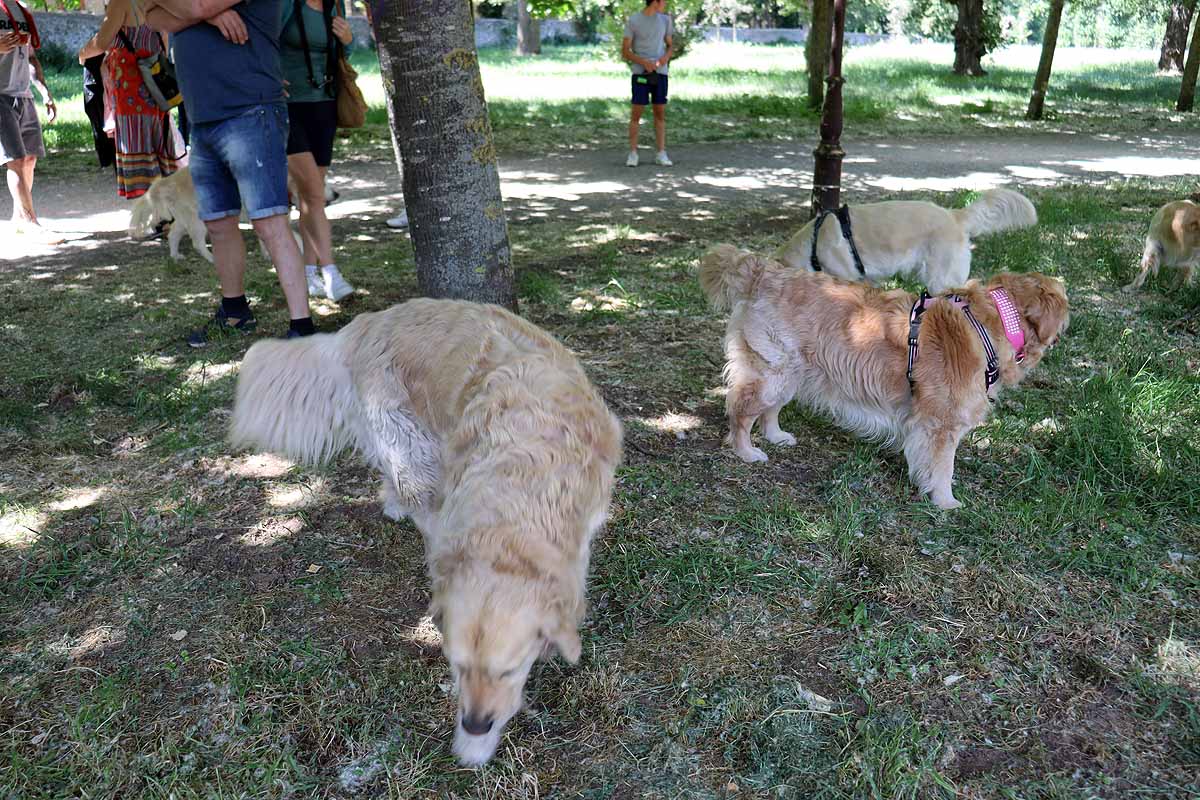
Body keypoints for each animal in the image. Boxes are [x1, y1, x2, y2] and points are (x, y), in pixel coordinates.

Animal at [225, 297, 624, 767]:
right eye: (456, 665)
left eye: (509, 670)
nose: (475, 724)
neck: (526, 485)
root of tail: (366, 322)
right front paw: (474, 745)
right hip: (410, 441)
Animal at [700, 241, 1070, 510]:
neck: (992, 322)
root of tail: (763, 270)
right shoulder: (941, 424)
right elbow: (943, 466)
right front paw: (945, 501)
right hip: (772, 373)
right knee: (740, 410)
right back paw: (746, 451)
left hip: (792, 372)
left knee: (770, 410)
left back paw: (776, 436)